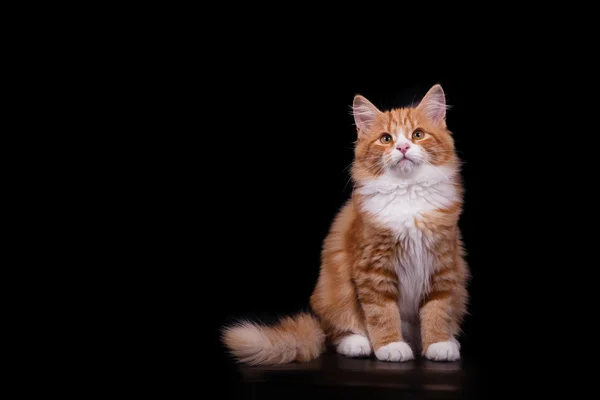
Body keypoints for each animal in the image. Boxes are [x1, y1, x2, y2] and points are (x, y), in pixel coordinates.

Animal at [220, 84, 468, 366]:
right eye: (386, 139)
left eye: (418, 135)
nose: (403, 147)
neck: (408, 194)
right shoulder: (372, 268)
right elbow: (382, 313)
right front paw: (390, 345)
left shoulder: (443, 264)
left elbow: (438, 310)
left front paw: (439, 343)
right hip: (334, 291)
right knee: (337, 331)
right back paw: (358, 343)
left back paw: (444, 340)